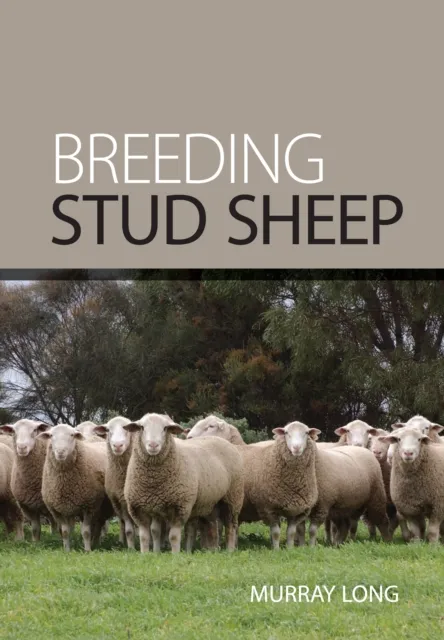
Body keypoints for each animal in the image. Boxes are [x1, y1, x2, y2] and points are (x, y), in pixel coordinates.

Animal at [123, 412, 244, 554]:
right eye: (141, 427)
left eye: (165, 428)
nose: (153, 445)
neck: (153, 481)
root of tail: (223, 441)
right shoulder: (139, 508)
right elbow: (147, 535)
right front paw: (148, 554)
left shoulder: (180, 507)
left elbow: (173, 536)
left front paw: (175, 554)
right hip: (211, 502)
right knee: (212, 526)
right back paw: (212, 550)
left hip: (233, 497)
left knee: (231, 526)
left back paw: (230, 550)